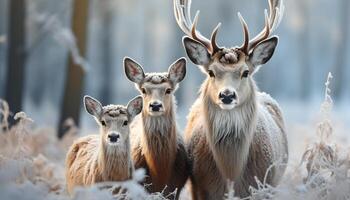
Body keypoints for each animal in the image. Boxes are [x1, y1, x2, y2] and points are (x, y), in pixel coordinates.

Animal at [174, 0, 288, 198]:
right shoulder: (199, 188)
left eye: (246, 72)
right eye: (211, 72)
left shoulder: (264, 185)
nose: (227, 95)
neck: (231, 173)